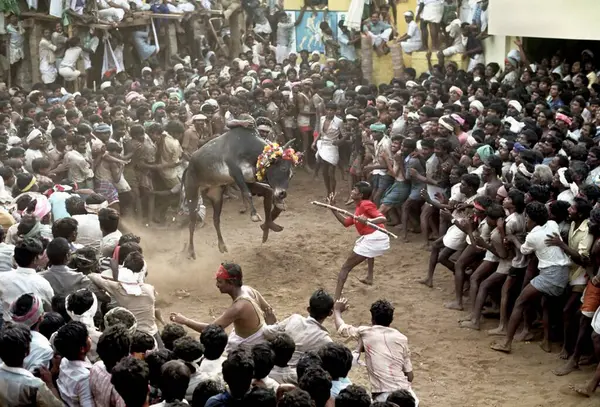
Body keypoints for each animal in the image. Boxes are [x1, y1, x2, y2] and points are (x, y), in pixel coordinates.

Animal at [180, 128, 298, 258]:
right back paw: (191, 251)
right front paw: (254, 215)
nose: (282, 194)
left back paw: (222, 245)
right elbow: (247, 193)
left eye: (291, 175)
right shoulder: (235, 173)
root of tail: (189, 167)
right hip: (192, 194)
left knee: (216, 220)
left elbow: (267, 192)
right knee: (192, 223)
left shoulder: (250, 180)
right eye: (283, 168)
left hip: (216, 195)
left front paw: (270, 223)